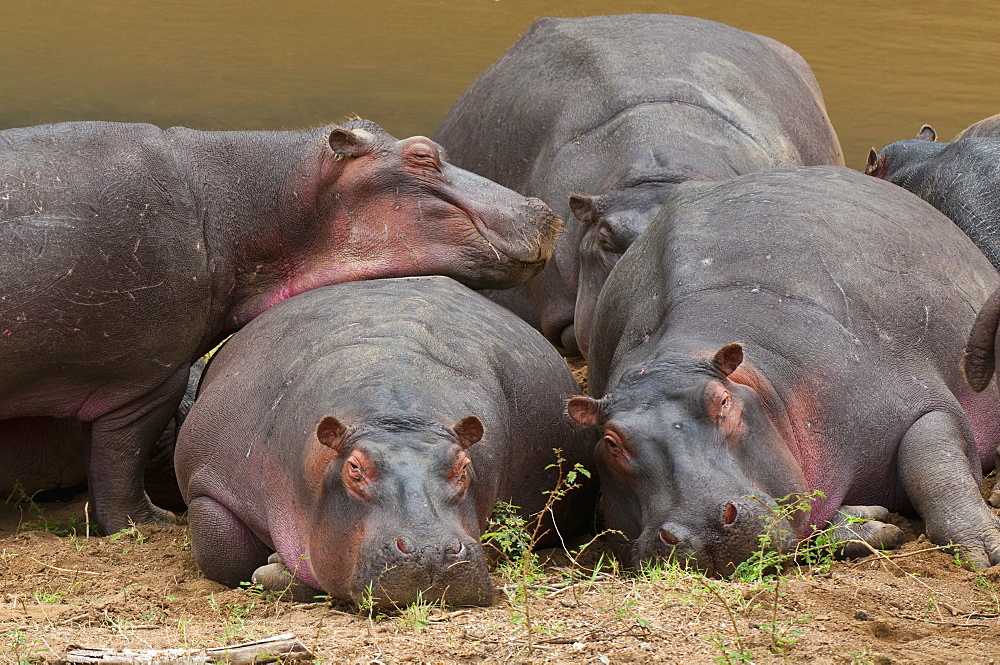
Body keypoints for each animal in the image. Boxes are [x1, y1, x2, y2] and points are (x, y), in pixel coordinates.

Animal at [0, 119, 564, 532]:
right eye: (423, 155)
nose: (541, 207)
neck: (252, 200)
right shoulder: (149, 378)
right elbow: (120, 460)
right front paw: (150, 524)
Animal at [174, 276, 592, 608]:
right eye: (355, 468)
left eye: (464, 465)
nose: (431, 552)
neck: (396, 417)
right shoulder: (208, 484)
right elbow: (225, 555)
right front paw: (271, 566)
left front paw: (274, 567)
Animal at [568, 165, 1000, 572]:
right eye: (611, 441)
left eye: (722, 402)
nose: (700, 529)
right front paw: (871, 521)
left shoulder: (903, 397)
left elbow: (935, 468)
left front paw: (984, 549)